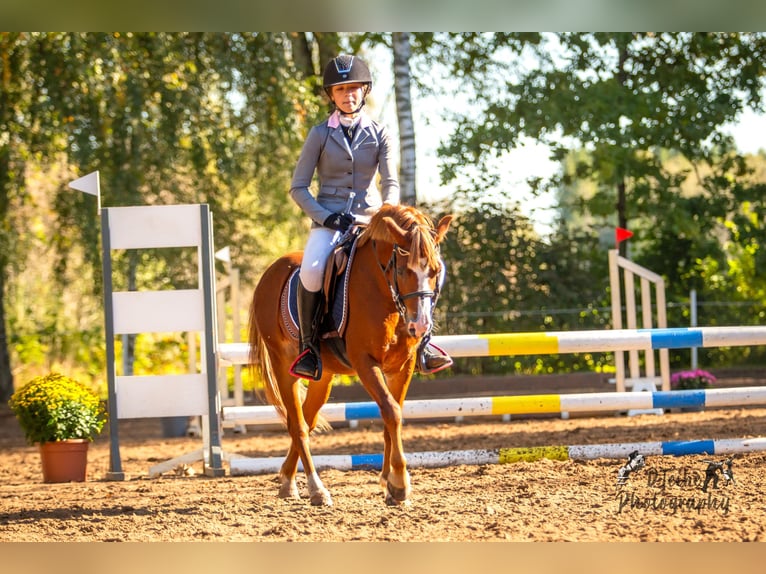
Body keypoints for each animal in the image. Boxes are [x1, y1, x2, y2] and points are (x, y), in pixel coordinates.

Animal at [249, 205, 452, 506]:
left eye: (436, 271)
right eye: (402, 270)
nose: (420, 326)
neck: (384, 294)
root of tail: (271, 272)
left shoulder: (402, 366)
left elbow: (392, 415)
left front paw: (388, 484)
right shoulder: (365, 363)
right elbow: (391, 411)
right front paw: (400, 483)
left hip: (323, 376)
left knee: (307, 421)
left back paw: (287, 481)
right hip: (282, 366)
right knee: (297, 425)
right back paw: (317, 489)